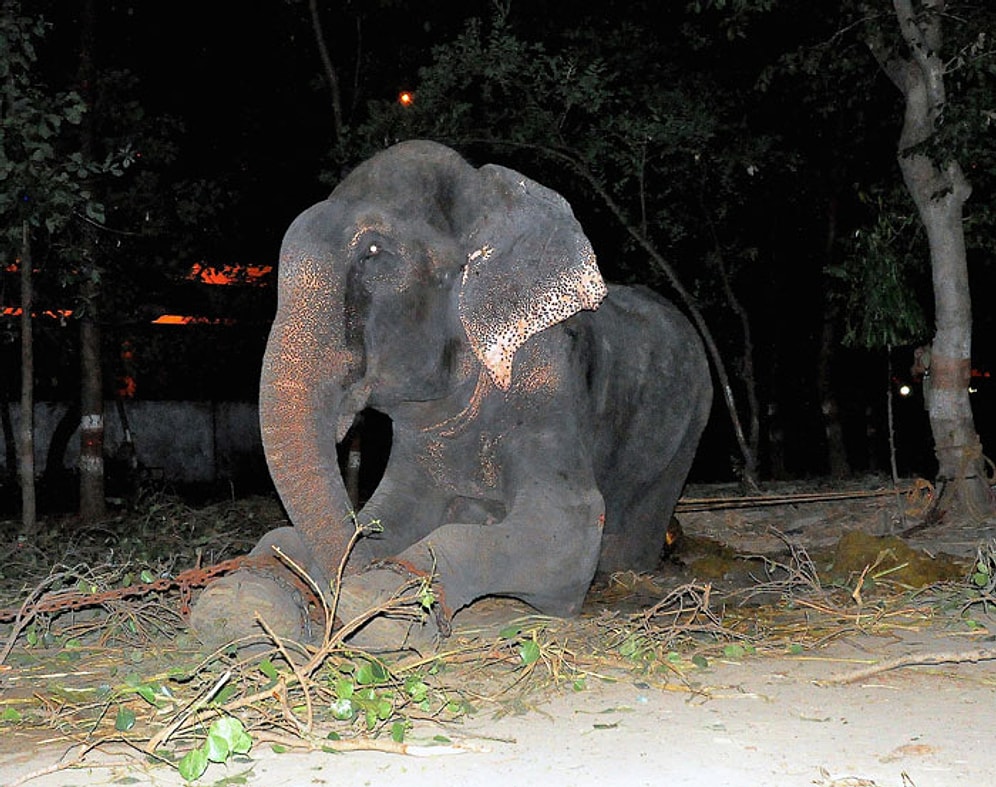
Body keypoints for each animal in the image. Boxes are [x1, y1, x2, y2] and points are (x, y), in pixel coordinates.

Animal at [191, 140, 712, 652]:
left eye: (374, 251)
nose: (331, 596)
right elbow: (387, 514)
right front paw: (239, 602)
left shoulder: (546, 379)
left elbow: (568, 527)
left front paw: (381, 604)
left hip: (689, 428)